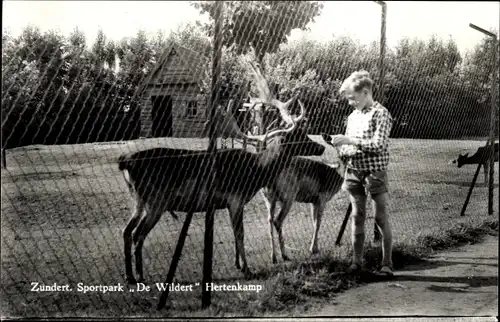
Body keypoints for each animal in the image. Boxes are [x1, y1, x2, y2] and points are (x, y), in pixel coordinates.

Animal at [118, 61, 326, 284]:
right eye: (299, 136)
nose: (321, 147)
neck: (256, 171)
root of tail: (125, 161)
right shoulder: (236, 198)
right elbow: (240, 233)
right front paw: (247, 270)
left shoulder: (228, 202)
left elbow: (236, 234)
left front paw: (238, 264)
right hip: (156, 200)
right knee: (138, 234)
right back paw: (140, 275)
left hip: (138, 199)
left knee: (126, 231)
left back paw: (129, 276)